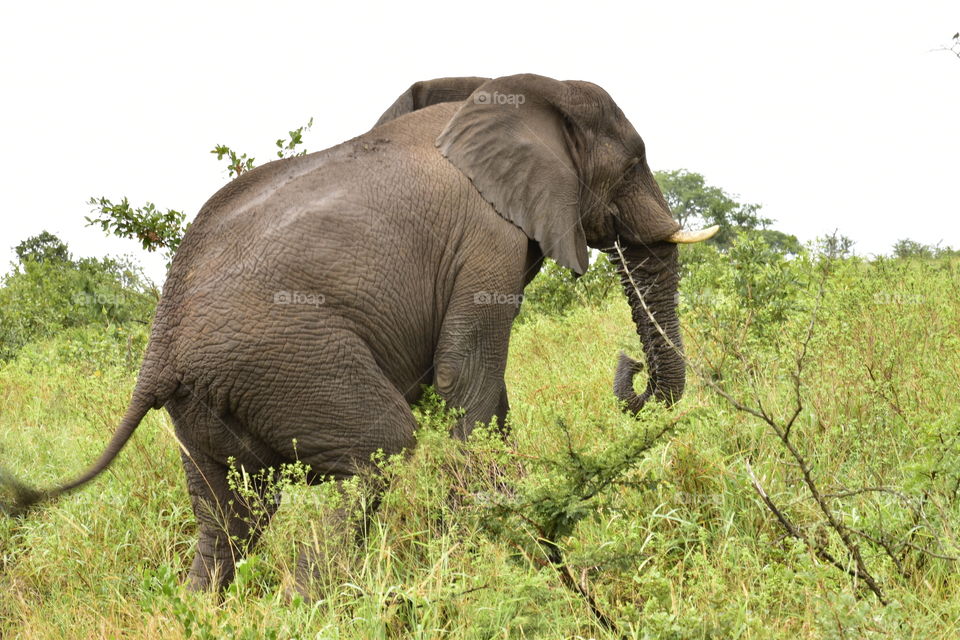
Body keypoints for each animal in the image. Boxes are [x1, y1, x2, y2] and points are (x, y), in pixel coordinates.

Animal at [0, 74, 717, 591]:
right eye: (634, 164)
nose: (630, 371)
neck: (509, 90)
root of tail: (157, 353)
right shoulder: (485, 237)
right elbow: (468, 377)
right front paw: (511, 544)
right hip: (286, 357)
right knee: (379, 448)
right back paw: (314, 602)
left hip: (207, 404)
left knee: (228, 516)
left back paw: (205, 607)